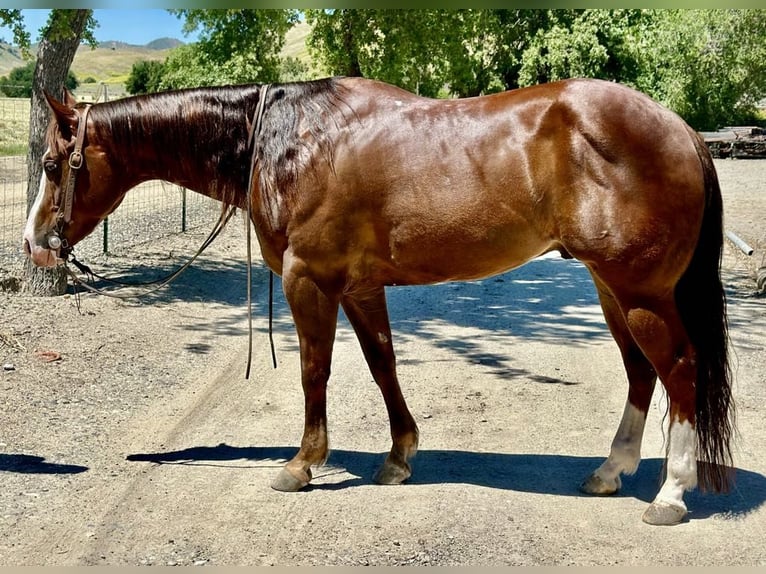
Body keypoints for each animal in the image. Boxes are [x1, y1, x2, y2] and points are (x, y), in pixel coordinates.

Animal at [21, 76, 736, 528]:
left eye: (55, 165)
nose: (34, 245)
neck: (287, 139)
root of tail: (680, 128)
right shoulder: (361, 287)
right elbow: (383, 365)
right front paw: (398, 458)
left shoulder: (310, 281)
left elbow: (315, 370)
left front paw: (302, 464)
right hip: (612, 289)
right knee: (642, 373)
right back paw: (611, 471)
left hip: (640, 292)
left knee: (679, 371)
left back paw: (671, 493)